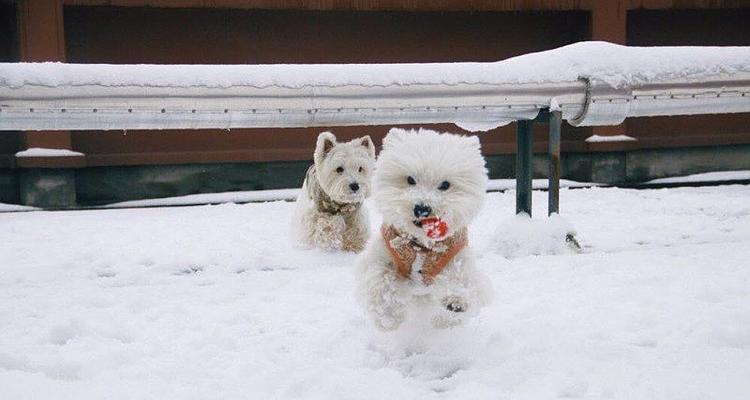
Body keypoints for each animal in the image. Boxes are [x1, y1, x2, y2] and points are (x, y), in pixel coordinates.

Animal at [358, 129, 494, 332]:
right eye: (410, 179)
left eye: (445, 185)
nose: (422, 208)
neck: (420, 245)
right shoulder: (380, 255)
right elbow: (382, 279)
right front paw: (389, 316)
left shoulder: (457, 256)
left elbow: (462, 277)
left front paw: (456, 301)